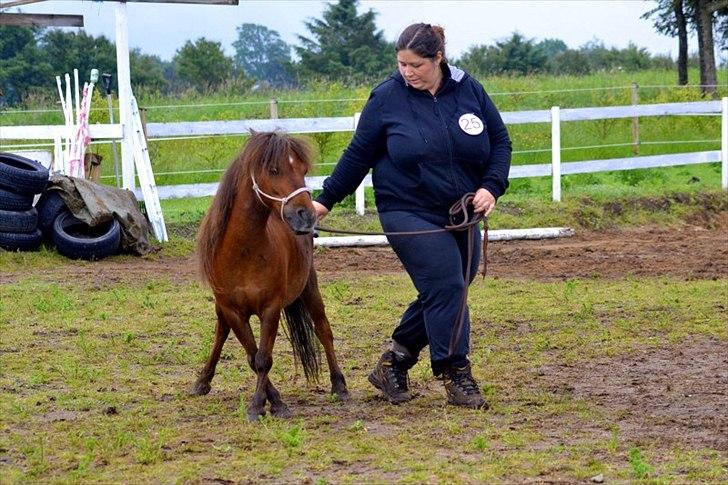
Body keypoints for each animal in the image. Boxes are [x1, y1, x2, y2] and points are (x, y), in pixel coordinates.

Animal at [191, 130, 350, 420]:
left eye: (303, 169)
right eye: (274, 169)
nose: (306, 215)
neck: (244, 253)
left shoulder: (271, 308)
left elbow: (264, 358)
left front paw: (261, 404)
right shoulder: (233, 310)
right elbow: (253, 357)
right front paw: (270, 400)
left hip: (309, 286)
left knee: (323, 330)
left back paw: (339, 386)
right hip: (224, 307)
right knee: (221, 332)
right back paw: (202, 381)